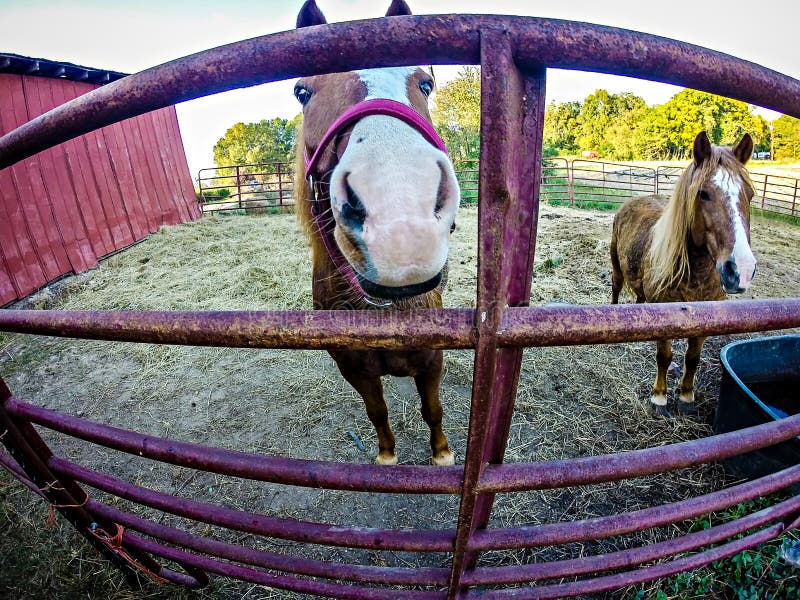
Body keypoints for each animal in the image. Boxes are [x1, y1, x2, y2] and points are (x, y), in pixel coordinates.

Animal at [292, 0, 459, 465]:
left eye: (425, 83)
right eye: (302, 92)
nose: (400, 224)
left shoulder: (431, 360)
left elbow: (432, 409)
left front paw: (442, 454)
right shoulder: (354, 368)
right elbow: (377, 410)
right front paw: (386, 456)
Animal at [610, 131, 757, 418]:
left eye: (751, 195)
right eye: (703, 193)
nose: (741, 269)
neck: (694, 276)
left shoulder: (705, 322)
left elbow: (693, 358)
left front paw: (686, 396)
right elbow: (664, 357)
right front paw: (659, 397)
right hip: (616, 266)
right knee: (616, 287)